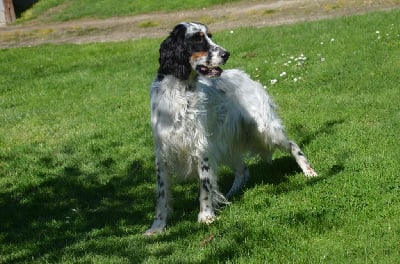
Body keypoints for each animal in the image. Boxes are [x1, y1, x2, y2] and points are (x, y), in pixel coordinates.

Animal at [145, 21, 318, 234]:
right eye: (198, 39)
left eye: (210, 36)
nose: (226, 54)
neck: (181, 92)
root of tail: (248, 77)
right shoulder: (163, 152)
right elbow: (162, 195)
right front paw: (157, 227)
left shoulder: (201, 147)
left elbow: (205, 186)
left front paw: (206, 216)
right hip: (224, 144)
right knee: (243, 169)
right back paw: (232, 193)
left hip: (264, 130)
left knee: (293, 145)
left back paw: (309, 171)